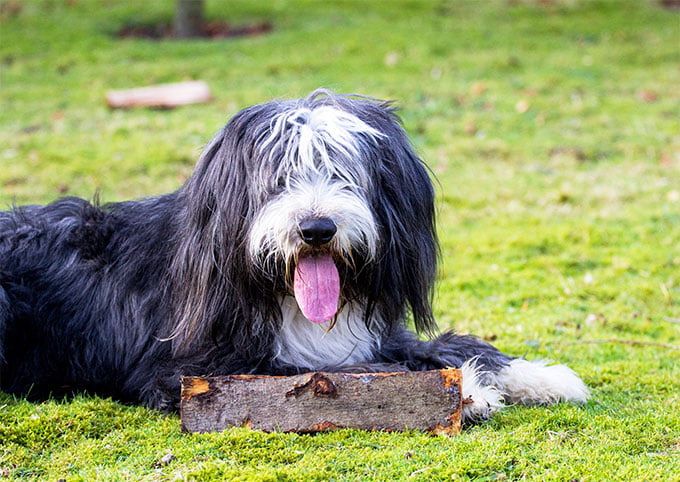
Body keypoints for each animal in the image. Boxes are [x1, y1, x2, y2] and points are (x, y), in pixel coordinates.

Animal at [0, 90, 588, 422]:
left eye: (344, 172)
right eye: (278, 178)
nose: (316, 229)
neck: (278, 291)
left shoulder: (372, 332)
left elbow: (442, 345)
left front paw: (534, 376)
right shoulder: (192, 367)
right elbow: (349, 372)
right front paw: (469, 392)